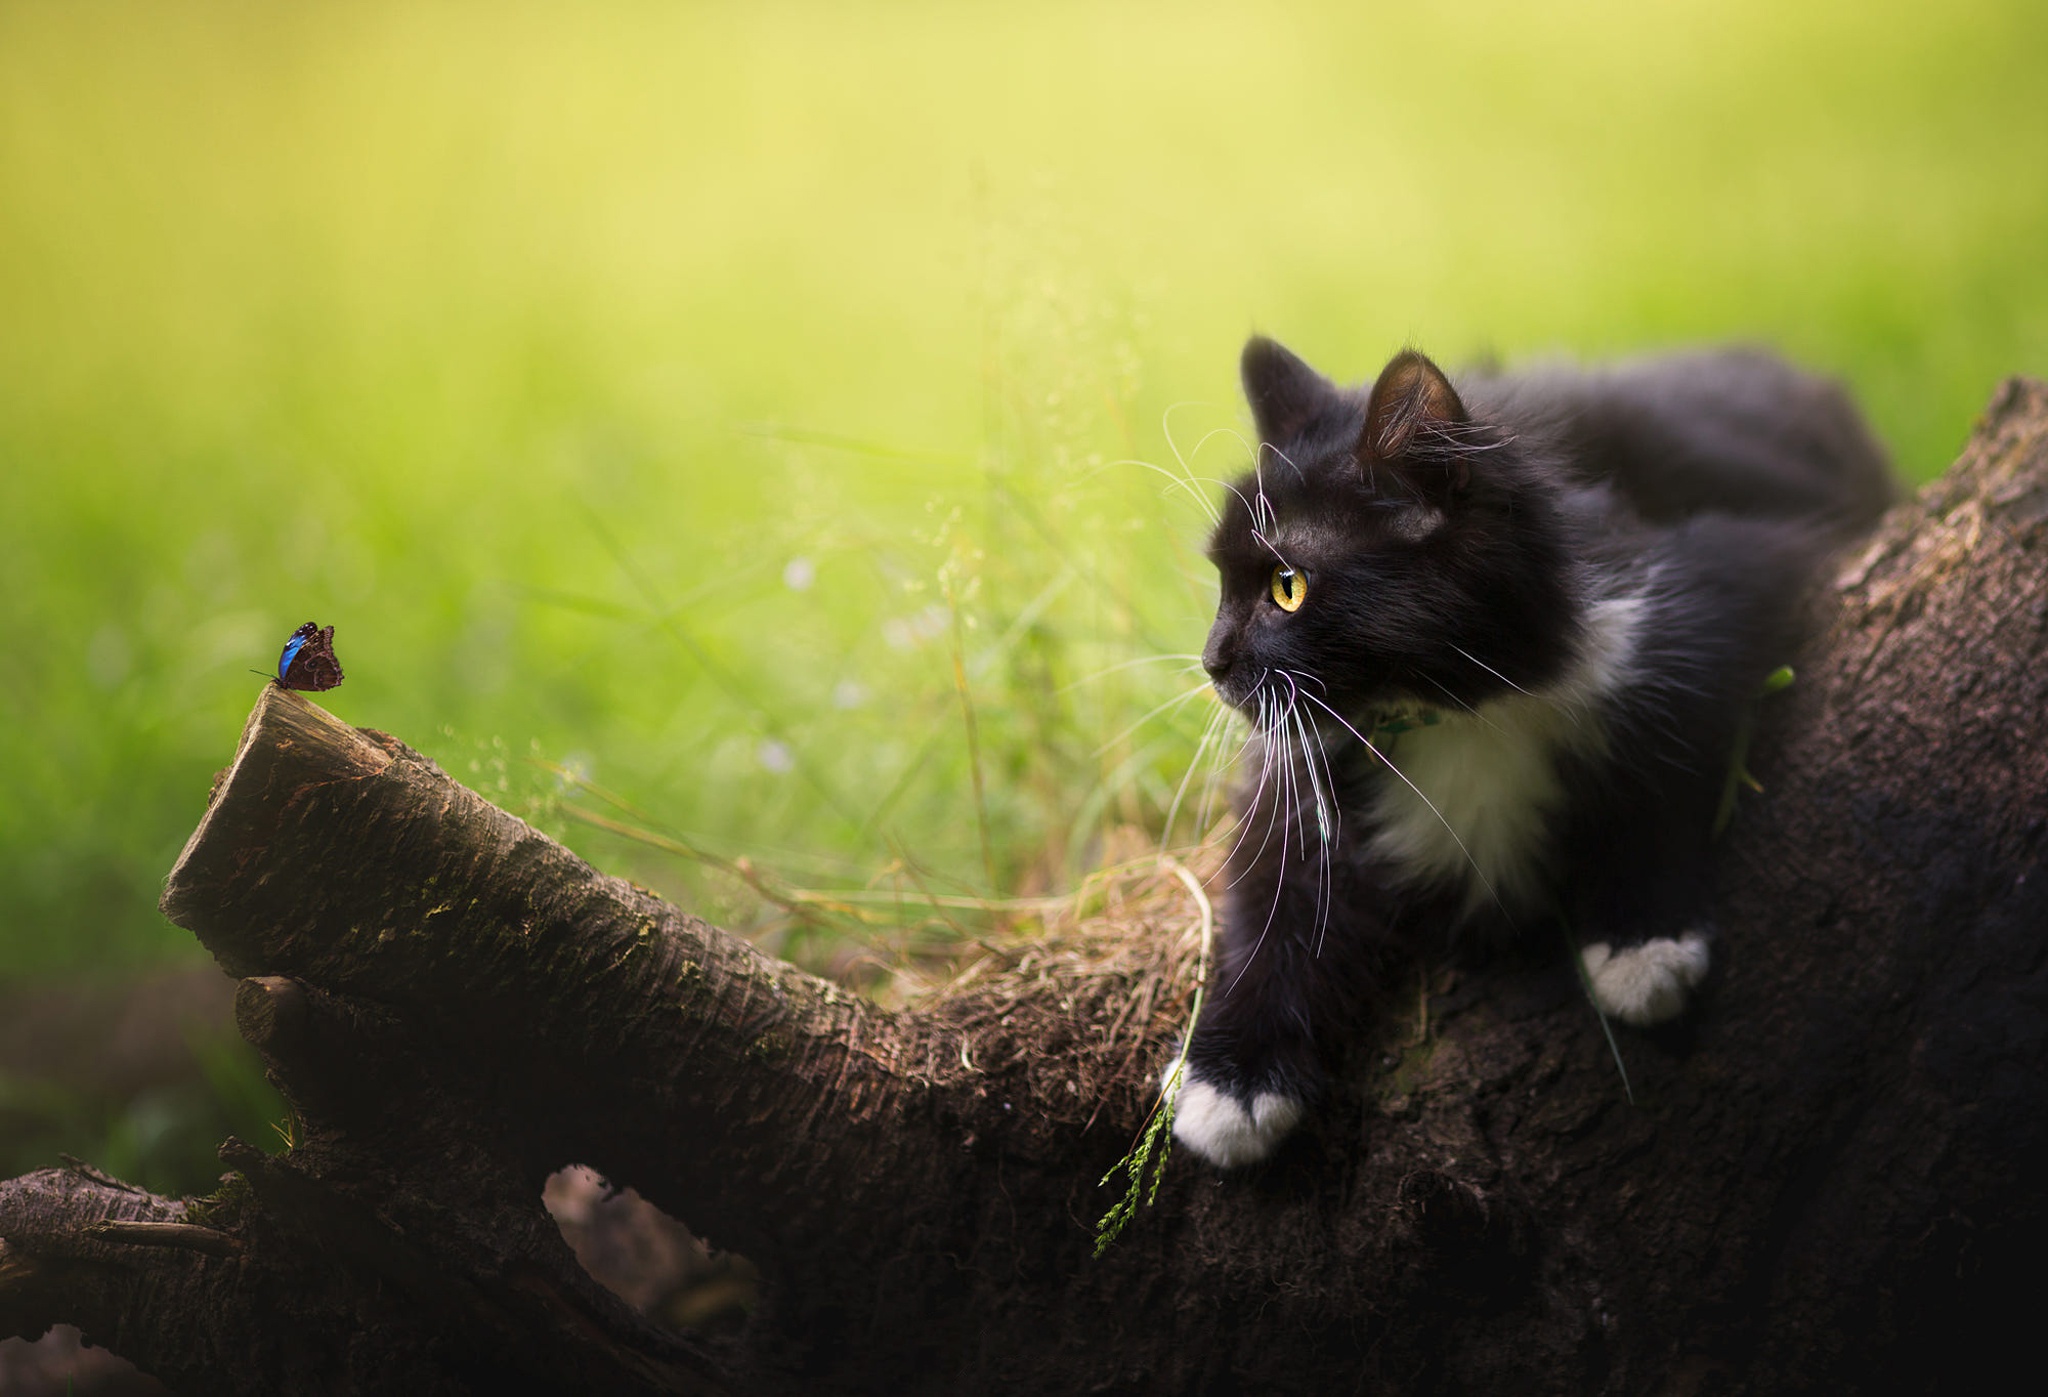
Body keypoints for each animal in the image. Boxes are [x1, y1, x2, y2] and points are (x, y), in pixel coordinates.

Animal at [1163, 333, 1892, 1163]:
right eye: (1222, 583)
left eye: (1288, 587)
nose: (1212, 661)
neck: (1447, 713)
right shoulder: (1300, 768)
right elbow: (1268, 893)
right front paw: (1230, 1081)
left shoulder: (1727, 574)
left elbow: (1668, 741)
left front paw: (1642, 938)